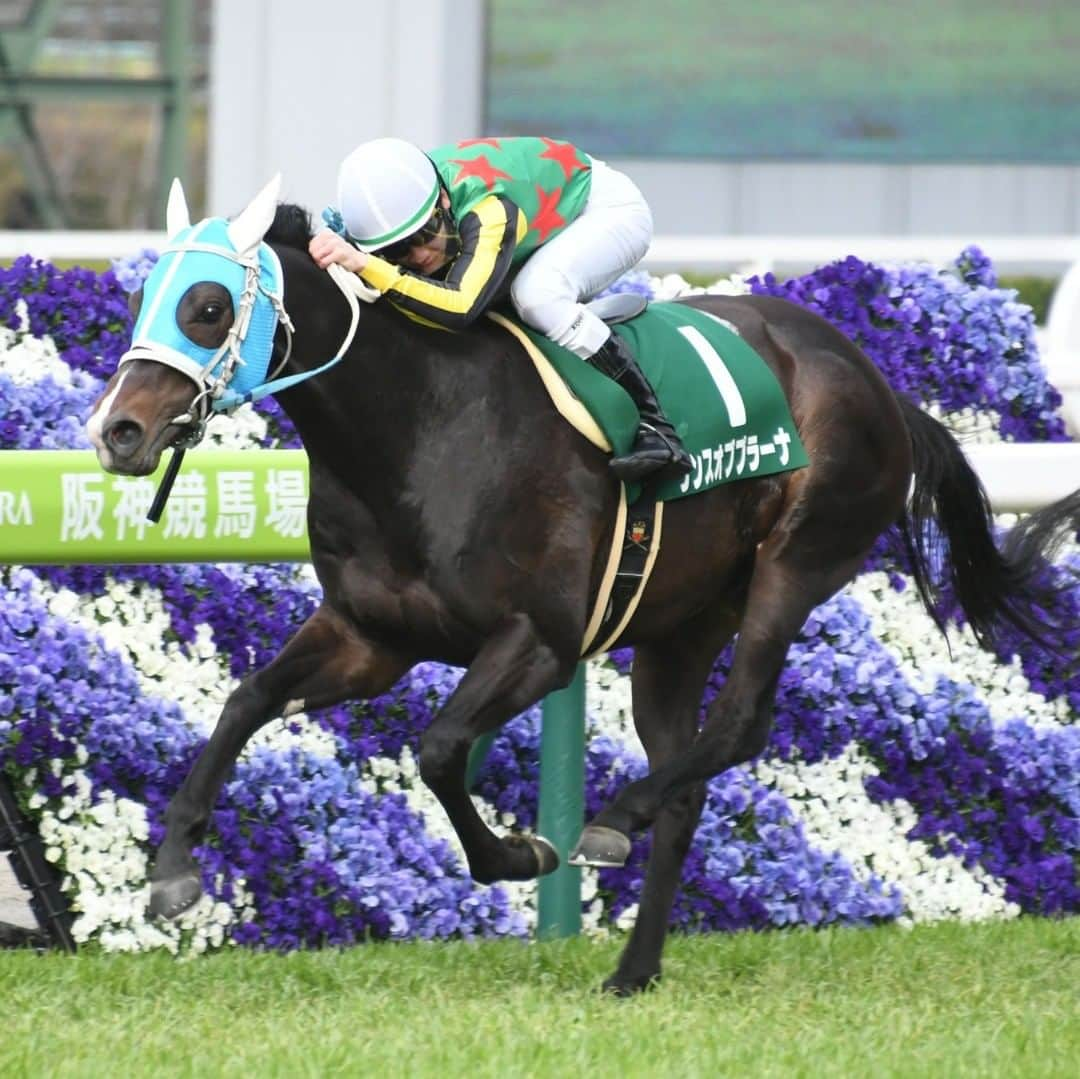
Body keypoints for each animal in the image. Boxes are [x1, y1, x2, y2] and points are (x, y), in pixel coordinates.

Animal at [88, 179, 1058, 993]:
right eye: (139, 300)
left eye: (208, 306)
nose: (117, 432)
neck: (422, 429)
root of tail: (876, 381)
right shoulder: (371, 636)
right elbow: (246, 700)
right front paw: (173, 868)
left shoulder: (541, 641)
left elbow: (440, 748)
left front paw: (523, 854)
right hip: (681, 625)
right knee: (687, 778)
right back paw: (633, 965)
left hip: (796, 563)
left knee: (739, 722)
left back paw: (613, 818)